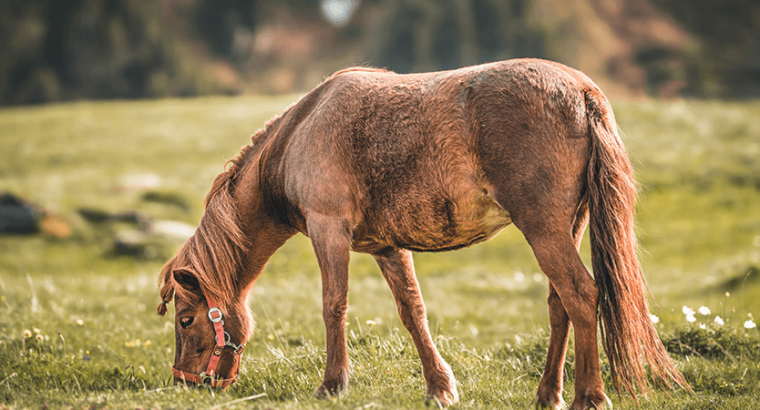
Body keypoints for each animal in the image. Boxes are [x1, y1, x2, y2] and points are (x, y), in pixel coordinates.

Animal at [156, 58, 688, 410]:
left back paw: (589, 396)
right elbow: (413, 313)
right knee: (562, 304)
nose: (185, 382)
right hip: (566, 228)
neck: (300, 134)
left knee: (581, 295)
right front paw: (439, 387)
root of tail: (581, 92)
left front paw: (332, 385)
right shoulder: (387, 247)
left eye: (185, 319)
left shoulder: (329, 230)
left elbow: (333, 306)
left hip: (544, 229)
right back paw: (548, 394)